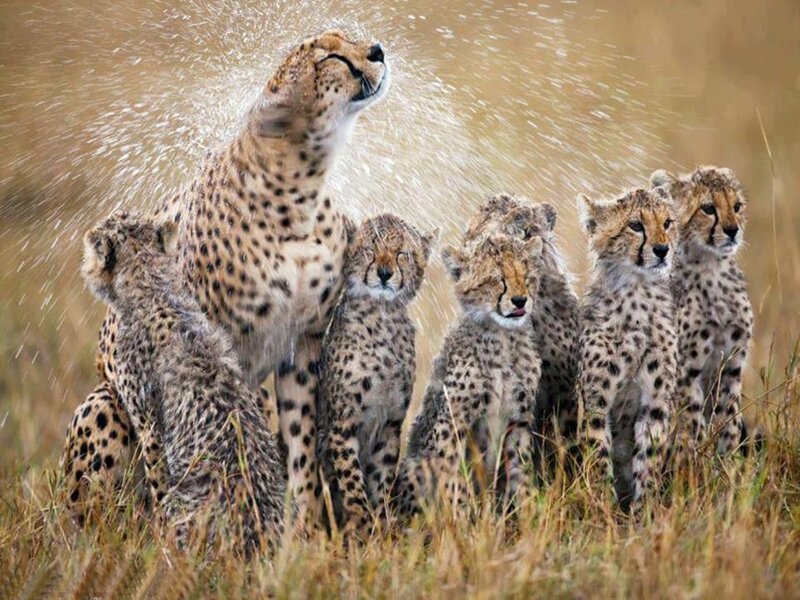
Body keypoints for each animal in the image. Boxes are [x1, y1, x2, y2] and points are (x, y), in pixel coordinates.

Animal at [316, 214, 435, 537]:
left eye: (402, 253)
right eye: (370, 249)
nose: (384, 273)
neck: (383, 318)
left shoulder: (391, 424)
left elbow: (382, 476)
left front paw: (382, 522)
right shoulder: (343, 424)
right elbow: (350, 477)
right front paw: (361, 522)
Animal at [392, 234, 544, 517]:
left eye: (527, 275)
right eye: (497, 278)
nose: (520, 300)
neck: (503, 337)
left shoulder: (518, 421)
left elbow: (522, 473)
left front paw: (529, 515)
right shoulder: (453, 422)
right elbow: (454, 477)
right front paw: (463, 518)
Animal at [576, 186, 678, 510]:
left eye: (667, 222)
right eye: (635, 225)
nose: (662, 250)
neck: (637, 289)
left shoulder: (655, 403)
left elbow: (649, 456)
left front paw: (646, 511)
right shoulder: (596, 400)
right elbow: (598, 452)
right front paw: (601, 510)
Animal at [650, 166, 755, 460]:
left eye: (737, 206)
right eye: (707, 208)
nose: (732, 230)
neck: (713, 268)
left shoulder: (732, 365)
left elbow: (728, 421)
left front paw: (728, 466)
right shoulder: (687, 369)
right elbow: (690, 423)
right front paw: (691, 466)